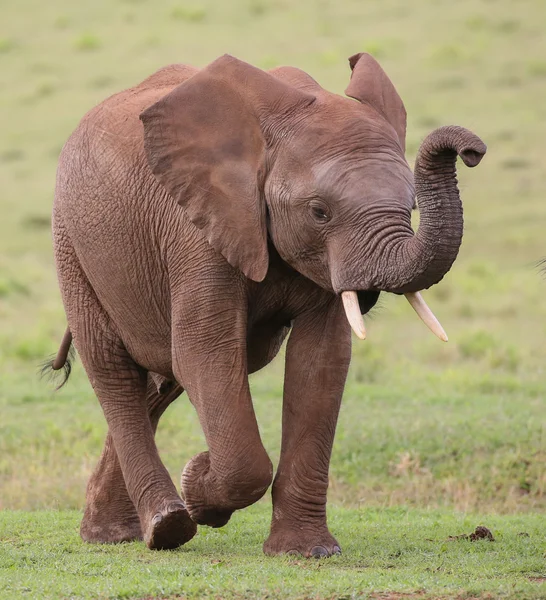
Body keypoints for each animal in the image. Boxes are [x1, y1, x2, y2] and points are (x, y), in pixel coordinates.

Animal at [44, 51, 482, 556]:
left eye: (410, 207)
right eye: (319, 212)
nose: (471, 151)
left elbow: (321, 362)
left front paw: (307, 552)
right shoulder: (199, 228)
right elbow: (206, 354)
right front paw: (200, 484)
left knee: (158, 380)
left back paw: (114, 534)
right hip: (72, 245)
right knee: (114, 371)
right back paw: (165, 527)